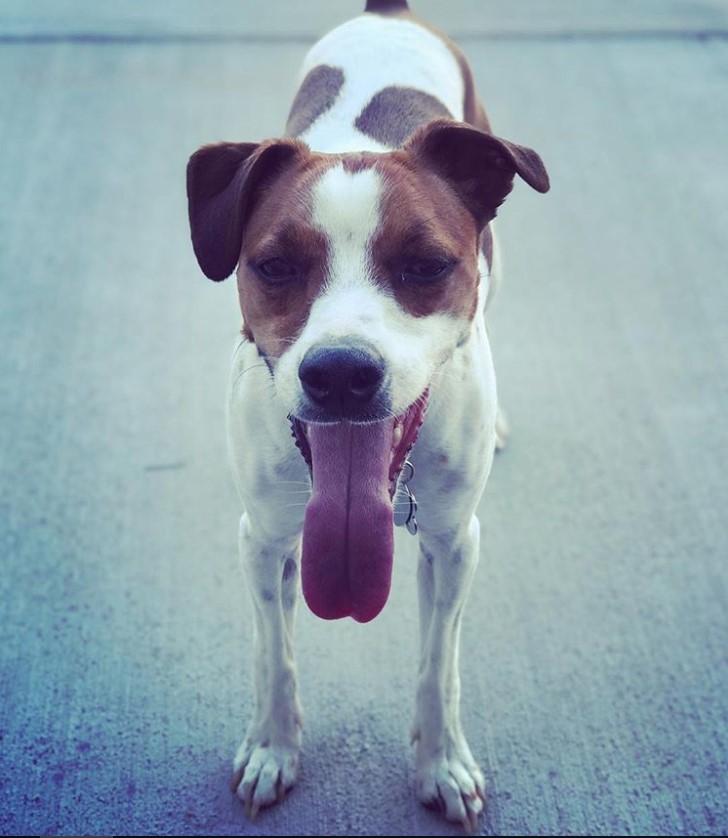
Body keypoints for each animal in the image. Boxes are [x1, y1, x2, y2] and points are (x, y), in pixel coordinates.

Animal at [185, 0, 548, 828]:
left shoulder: (455, 543)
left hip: (501, 252)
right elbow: (275, 655)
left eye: (425, 266)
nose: (342, 374)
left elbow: (438, 665)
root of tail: (391, 13)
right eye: (275, 266)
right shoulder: (261, 538)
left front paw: (441, 764)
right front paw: (273, 749)